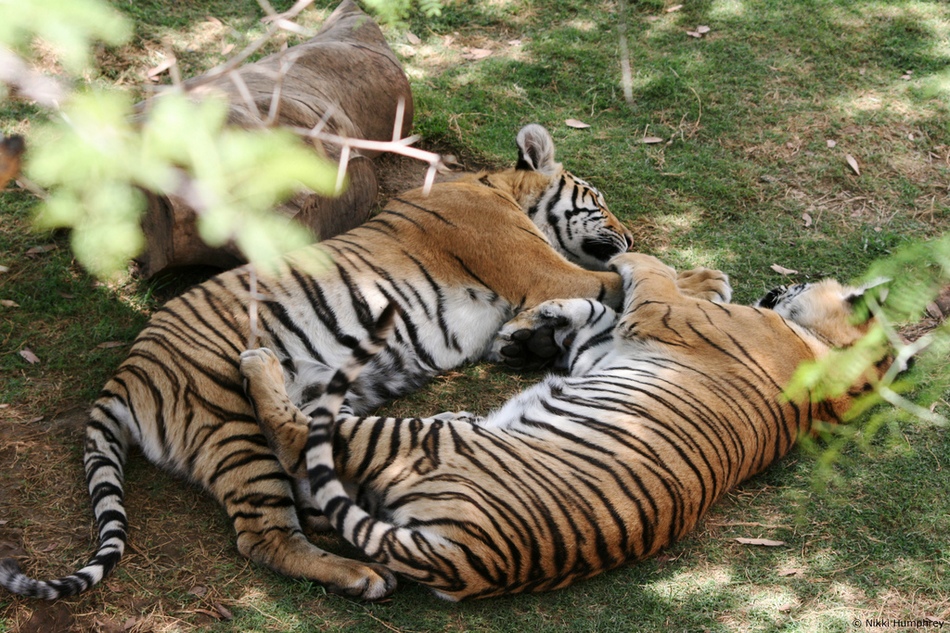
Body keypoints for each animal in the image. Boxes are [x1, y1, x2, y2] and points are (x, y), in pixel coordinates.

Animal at [3, 122, 640, 596]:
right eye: (601, 203)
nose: (629, 235)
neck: (499, 188)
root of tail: (124, 372)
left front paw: (528, 342)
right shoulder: (543, 270)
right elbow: (620, 281)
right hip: (231, 423)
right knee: (264, 534)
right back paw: (362, 575)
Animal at [232, 251, 892, 596]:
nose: (788, 278)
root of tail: (463, 558)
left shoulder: (659, 313)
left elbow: (646, 271)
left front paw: (617, 260)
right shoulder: (606, 348)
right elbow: (593, 309)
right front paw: (537, 327)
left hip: (413, 440)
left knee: (301, 437)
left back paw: (261, 362)